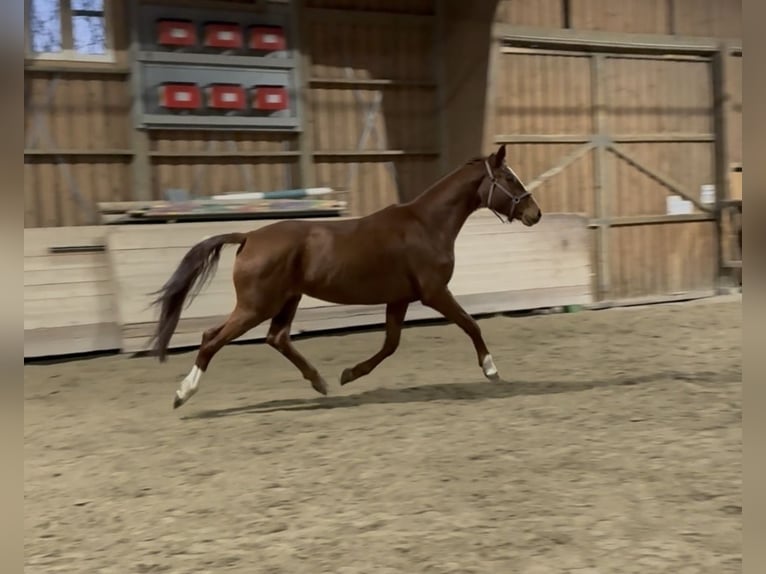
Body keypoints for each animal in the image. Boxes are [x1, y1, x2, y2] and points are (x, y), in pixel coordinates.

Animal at [149, 144, 542, 409]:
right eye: (509, 178)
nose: (534, 213)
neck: (426, 225)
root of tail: (248, 237)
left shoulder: (399, 298)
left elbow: (390, 344)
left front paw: (349, 374)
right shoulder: (434, 292)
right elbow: (470, 324)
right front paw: (491, 370)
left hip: (285, 301)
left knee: (275, 338)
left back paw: (320, 383)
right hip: (256, 306)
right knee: (212, 339)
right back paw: (183, 393)